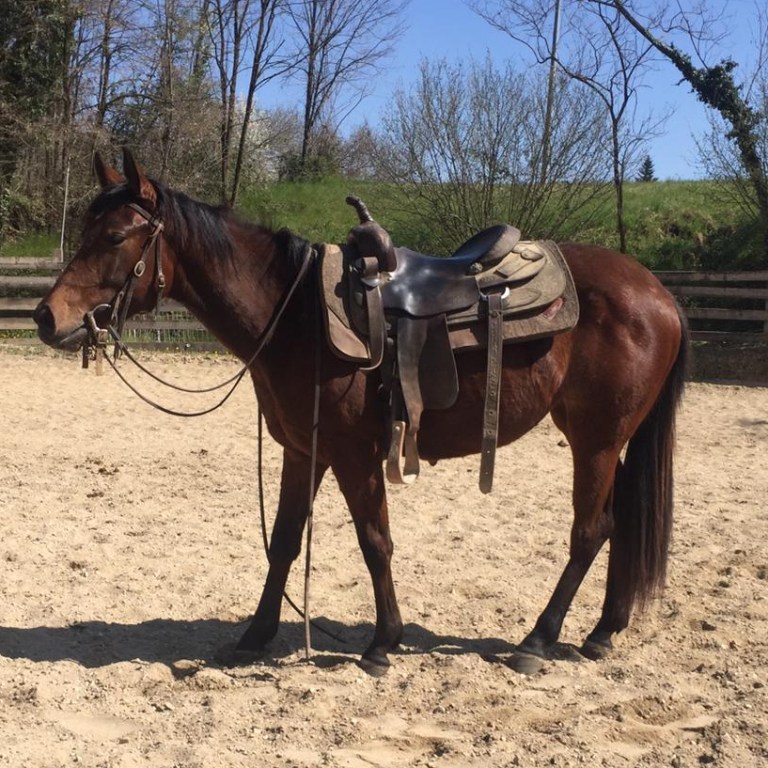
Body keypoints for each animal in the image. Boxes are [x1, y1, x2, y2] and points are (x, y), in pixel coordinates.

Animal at [34, 150, 688, 675]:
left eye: (115, 238)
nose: (45, 317)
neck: (293, 312)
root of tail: (659, 293)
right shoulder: (304, 450)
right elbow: (283, 542)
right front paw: (254, 636)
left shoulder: (354, 454)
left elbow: (375, 540)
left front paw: (382, 643)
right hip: (610, 442)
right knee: (619, 525)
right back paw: (603, 632)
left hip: (596, 440)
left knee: (589, 531)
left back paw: (538, 640)